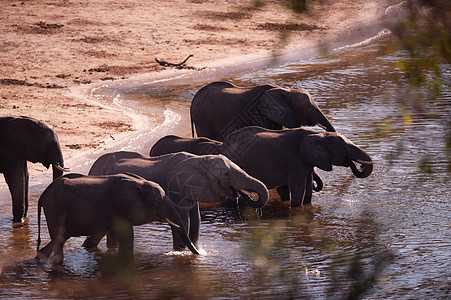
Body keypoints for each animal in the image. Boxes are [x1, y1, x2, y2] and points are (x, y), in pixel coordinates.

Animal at [35, 172, 198, 266]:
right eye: (158, 202)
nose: (201, 252)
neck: (139, 184)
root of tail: (43, 195)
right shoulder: (116, 208)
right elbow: (126, 235)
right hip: (54, 210)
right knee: (58, 241)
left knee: (57, 241)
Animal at [88, 152, 268, 251]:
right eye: (226, 174)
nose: (241, 194)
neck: (198, 160)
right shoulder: (176, 189)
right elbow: (183, 220)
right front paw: (182, 253)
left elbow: (196, 220)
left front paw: (199, 251)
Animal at [150, 126, 372, 206]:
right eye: (345, 148)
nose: (358, 165)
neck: (315, 134)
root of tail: (222, 145)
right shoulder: (295, 159)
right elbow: (299, 187)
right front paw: (296, 209)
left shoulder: (305, 160)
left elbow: (308, 187)